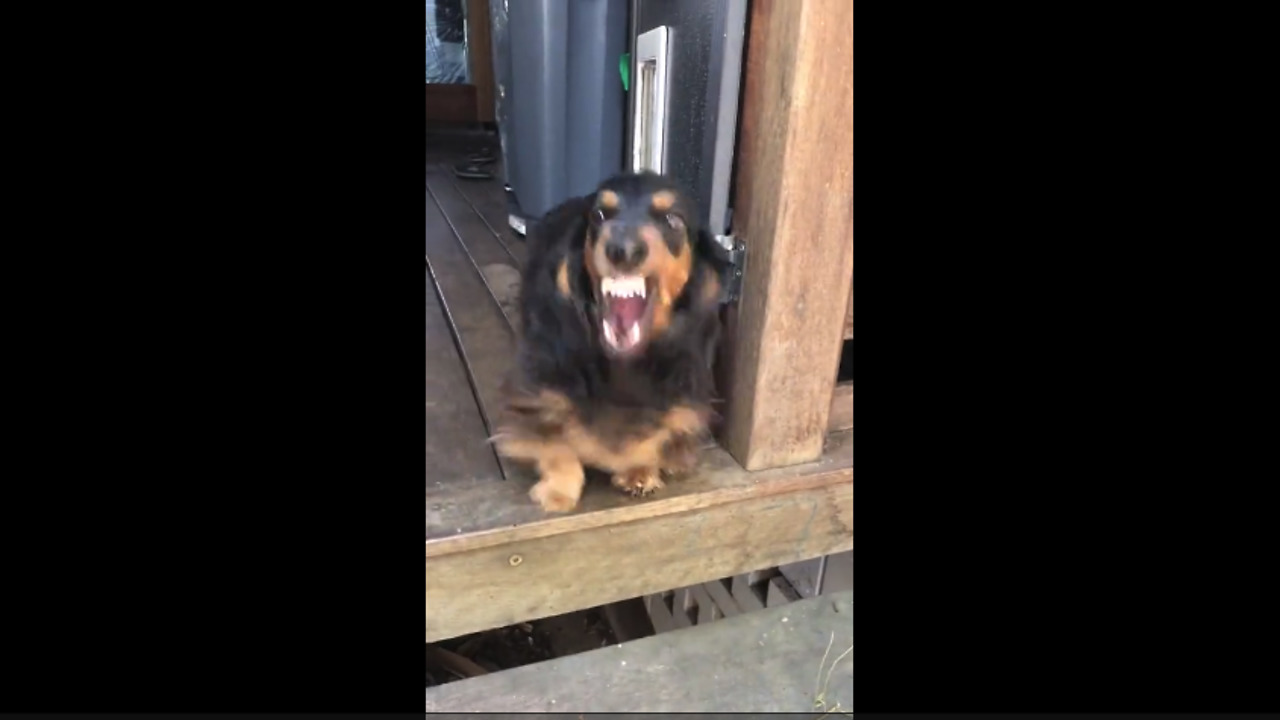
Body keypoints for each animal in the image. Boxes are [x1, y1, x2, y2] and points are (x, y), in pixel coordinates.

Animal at [491, 172, 727, 509]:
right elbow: (554, 440)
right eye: (599, 215)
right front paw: (557, 491)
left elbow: (654, 433)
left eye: (672, 219)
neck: (621, 365)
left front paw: (639, 469)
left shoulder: (682, 398)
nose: (622, 250)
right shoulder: (533, 393)